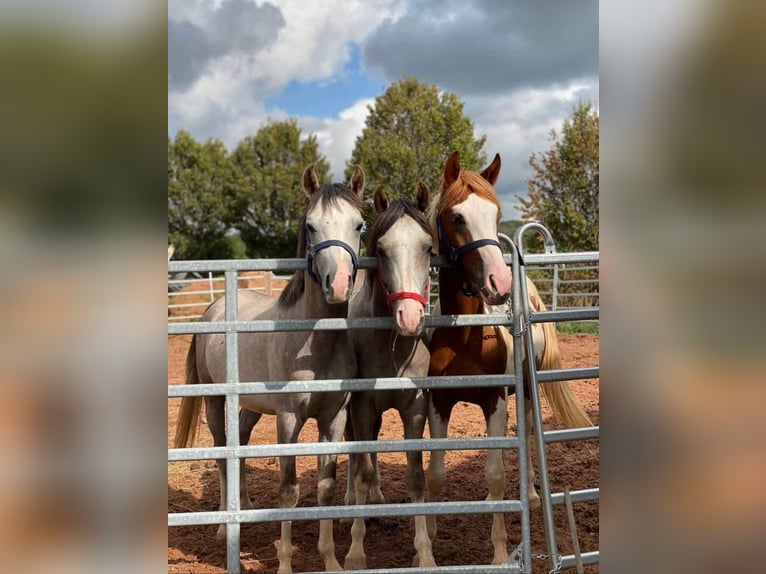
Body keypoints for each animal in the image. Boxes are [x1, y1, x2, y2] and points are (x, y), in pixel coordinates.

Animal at [176, 164, 368, 572]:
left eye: (359, 224)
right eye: (310, 225)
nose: (339, 285)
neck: (313, 344)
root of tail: (212, 308)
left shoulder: (334, 419)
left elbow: (325, 487)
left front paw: (331, 560)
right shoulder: (288, 420)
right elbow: (288, 490)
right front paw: (284, 563)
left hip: (249, 406)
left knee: (241, 442)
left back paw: (245, 508)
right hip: (215, 403)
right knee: (222, 451)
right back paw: (224, 527)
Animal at [426, 151, 592, 564]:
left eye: (497, 215)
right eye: (457, 217)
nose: (499, 283)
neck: (466, 334)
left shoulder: (496, 400)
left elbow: (496, 474)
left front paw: (500, 552)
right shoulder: (438, 401)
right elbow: (435, 474)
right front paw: (429, 540)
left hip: (526, 391)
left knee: (529, 430)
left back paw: (530, 494)